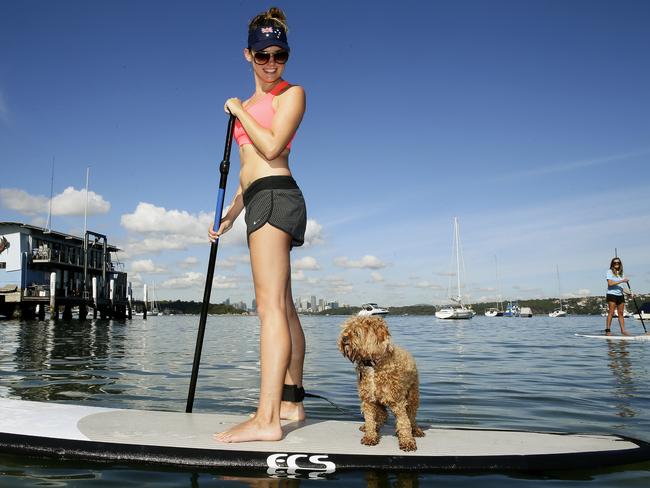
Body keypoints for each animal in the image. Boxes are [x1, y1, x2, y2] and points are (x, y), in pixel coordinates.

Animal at [336, 316, 422, 450]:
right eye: (346, 329)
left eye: (356, 332)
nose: (344, 338)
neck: (372, 364)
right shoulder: (368, 400)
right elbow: (370, 420)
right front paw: (370, 436)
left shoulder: (398, 401)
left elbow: (404, 421)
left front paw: (407, 441)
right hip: (379, 403)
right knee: (383, 416)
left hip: (413, 395)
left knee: (411, 416)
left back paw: (415, 429)